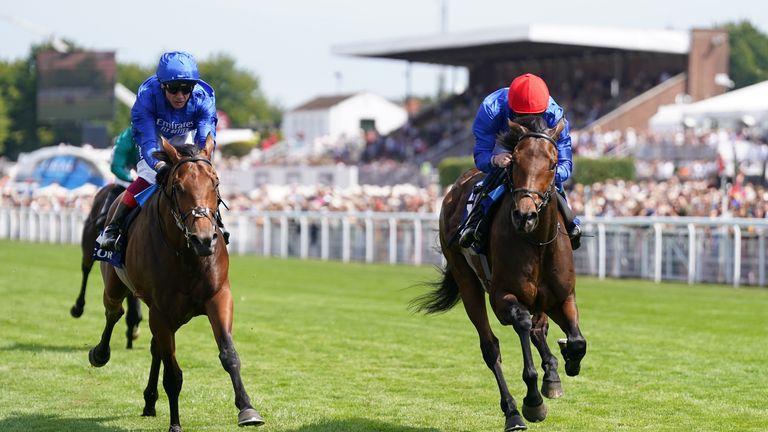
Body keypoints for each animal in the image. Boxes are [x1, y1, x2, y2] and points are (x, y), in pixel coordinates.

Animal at [88, 136, 264, 432]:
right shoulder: (160, 311)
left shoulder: (218, 296)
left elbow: (229, 354)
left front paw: (247, 409)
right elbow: (173, 375)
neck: (187, 255)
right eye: (178, 187)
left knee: (155, 346)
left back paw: (149, 400)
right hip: (115, 285)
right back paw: (100, 353)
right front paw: (175, 424)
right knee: (114, 312)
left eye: (215, 183)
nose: (204, 239)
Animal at [414, 116, 588, 430]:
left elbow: (577, 340)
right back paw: (513, 412)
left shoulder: (563, 297)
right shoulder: (502, 297)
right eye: (514, 161)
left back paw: (552, 374)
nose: (525, 215)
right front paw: (533, 401)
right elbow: (520, 324)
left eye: (553, 163)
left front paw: (566, 362)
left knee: (539, 329)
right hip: (467, 282)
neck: (536, 242)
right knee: (491, 348)